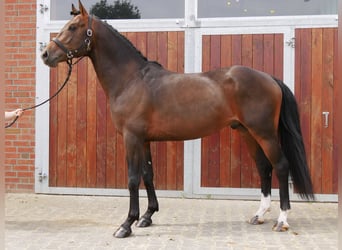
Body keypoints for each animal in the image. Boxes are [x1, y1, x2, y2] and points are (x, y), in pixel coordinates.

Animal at [41, 0, 314, 238]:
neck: (131, 80)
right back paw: (259, 215)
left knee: (281, 166)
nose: (45, 54)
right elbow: (148, 175)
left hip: (264, 133)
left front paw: (126, 224)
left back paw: (282, 220)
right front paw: (147, 217)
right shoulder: (144, 140)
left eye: (73, 27)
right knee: (264, 168)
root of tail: (269, 78)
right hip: (247, 132)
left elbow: (132, 179)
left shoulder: (131, 138)